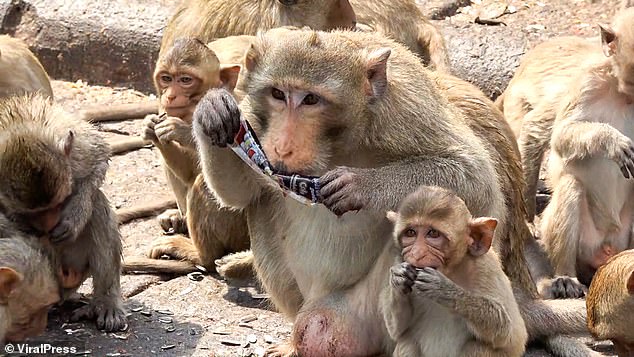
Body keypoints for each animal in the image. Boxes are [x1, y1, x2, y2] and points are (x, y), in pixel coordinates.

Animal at [0, 92, 126, 330]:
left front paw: (74, 217)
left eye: (58, 205)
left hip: (75, 265)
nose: (49, 225)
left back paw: (105, 302)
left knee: (97, 207)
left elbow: (99, 159)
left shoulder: (78, 148)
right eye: (30, 213)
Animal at [380, 185, 524, 356]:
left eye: (433, 234)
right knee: (406, 343)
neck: (451, 271)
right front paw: (398, 277)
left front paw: (444, 289)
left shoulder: (485, 267)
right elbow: (398, 330)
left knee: (477, 347)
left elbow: (507, 331)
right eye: (411, 233)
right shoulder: (399, 258)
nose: (416, 253)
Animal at [536, 8, 632, 294]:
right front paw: (612, 141)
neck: (625, 95)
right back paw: (565, 277)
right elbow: (561, 135)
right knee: (571, 185)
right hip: (583, 242)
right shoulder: (588, 78)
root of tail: (607, 248)